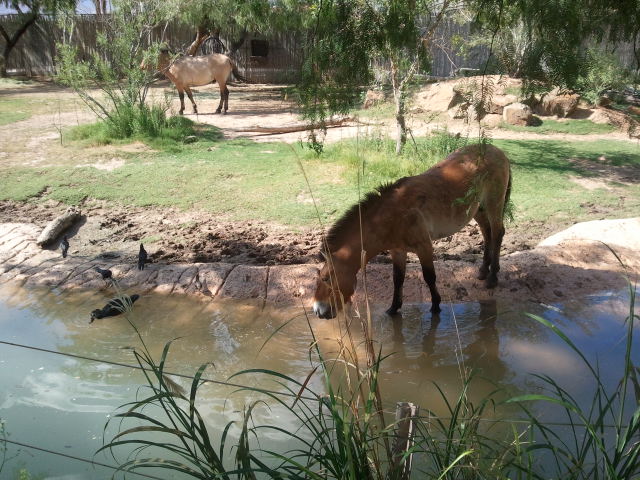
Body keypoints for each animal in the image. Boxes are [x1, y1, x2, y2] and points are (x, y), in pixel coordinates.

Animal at [312, 143, 512, 319]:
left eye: (325, 278)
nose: (318, 310)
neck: (393, 215)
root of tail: (496, 150)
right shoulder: (398, 251)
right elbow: (398, 279)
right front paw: (393, 308)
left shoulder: (424, 247)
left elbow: (429, 277)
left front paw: (435, 306)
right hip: (478, 209)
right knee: (487, 233)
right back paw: (483, 270)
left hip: (494, 204)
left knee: (497, 233)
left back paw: (492, 277)